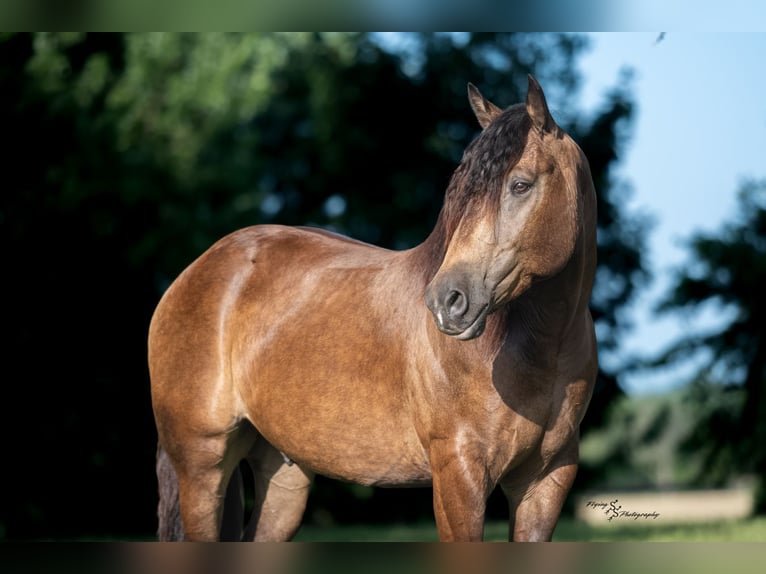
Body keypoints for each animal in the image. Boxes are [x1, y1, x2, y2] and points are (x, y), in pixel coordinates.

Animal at [149, 75, 598, 542]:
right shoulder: (459, 474)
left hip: (283, 475)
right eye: (462, 192)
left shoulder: (546, 481)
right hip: (201, 467)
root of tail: (195, 272)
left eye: (521, 185)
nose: (447, 301)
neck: (536, 348)